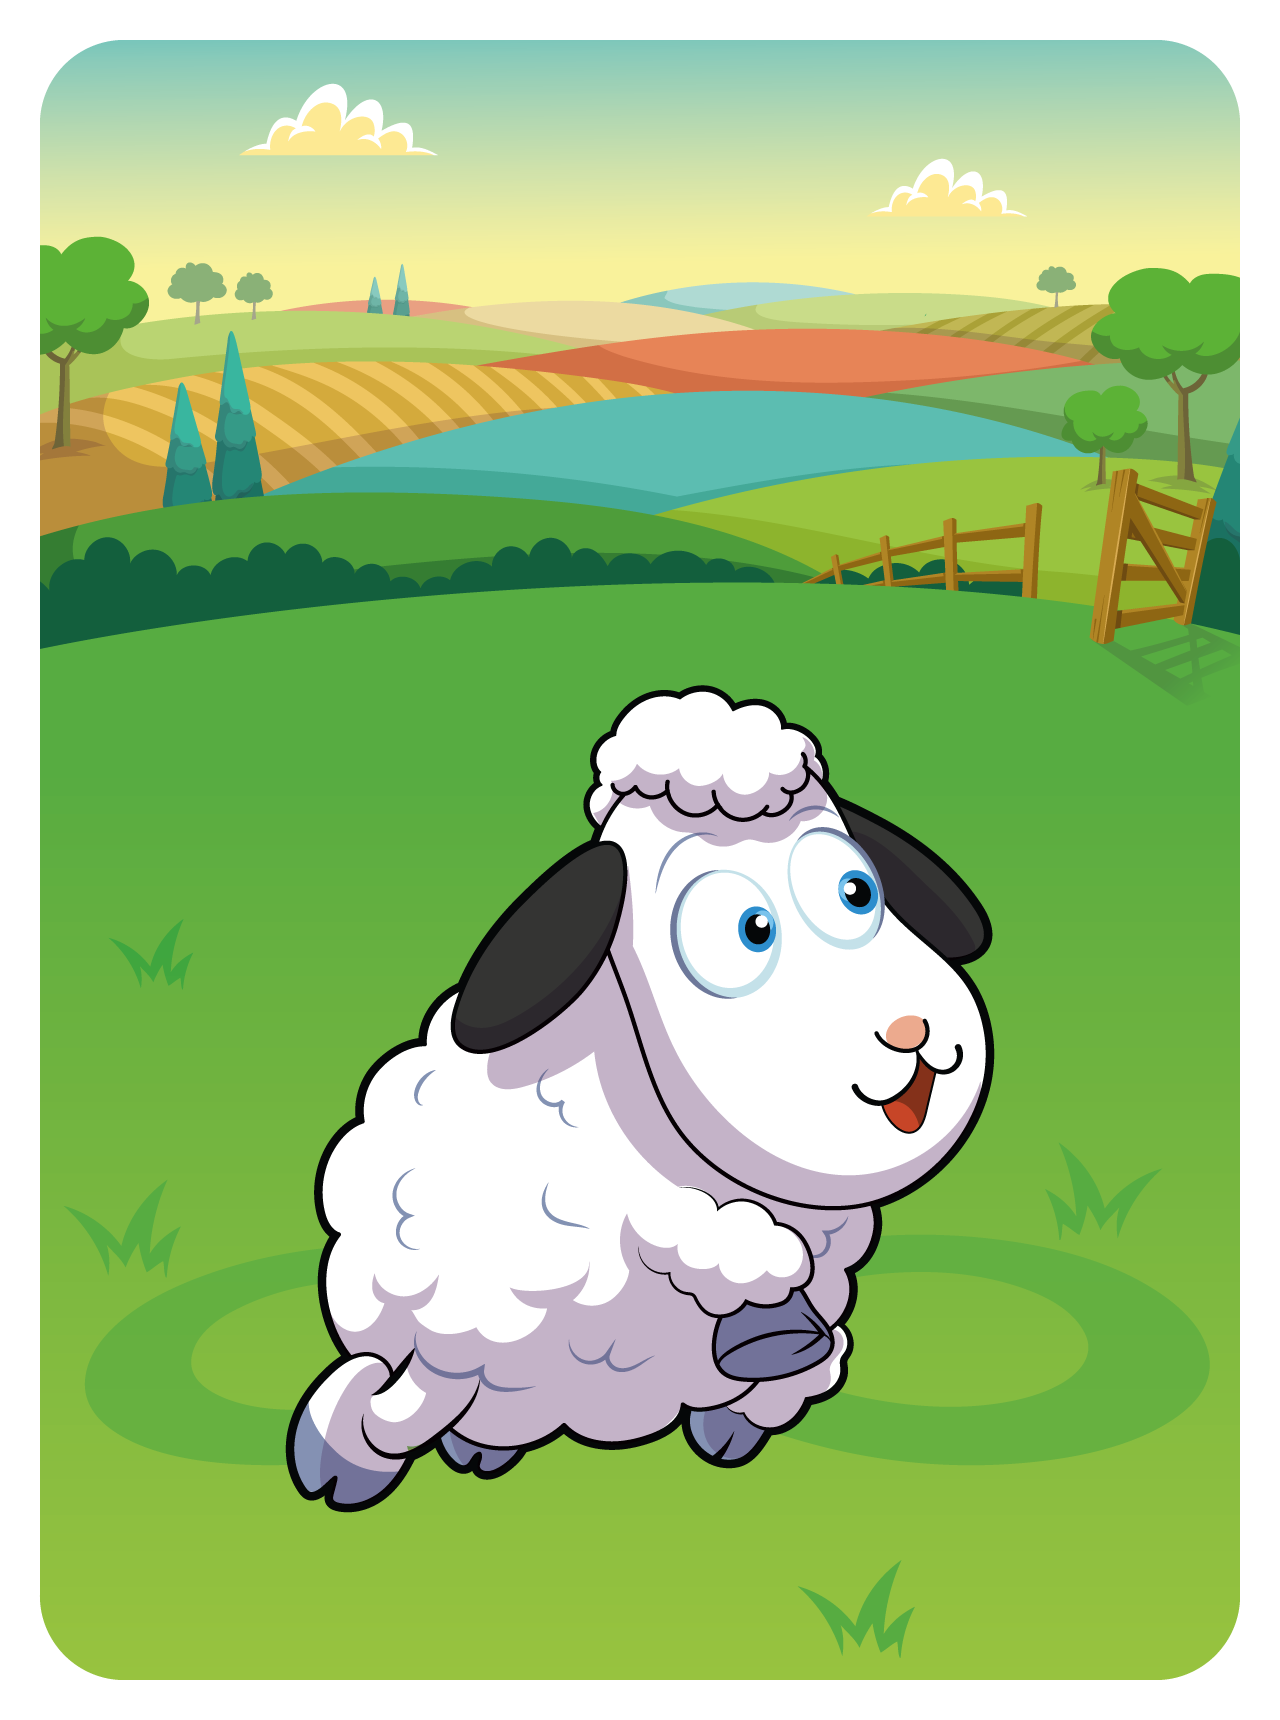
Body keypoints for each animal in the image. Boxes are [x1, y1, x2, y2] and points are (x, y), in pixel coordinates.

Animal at [288, 686, 993, 1510]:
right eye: (750, 930)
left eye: (858, 892)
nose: (909, 1033)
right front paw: (748, 1260)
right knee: (407, 1403)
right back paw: (356, 1460)